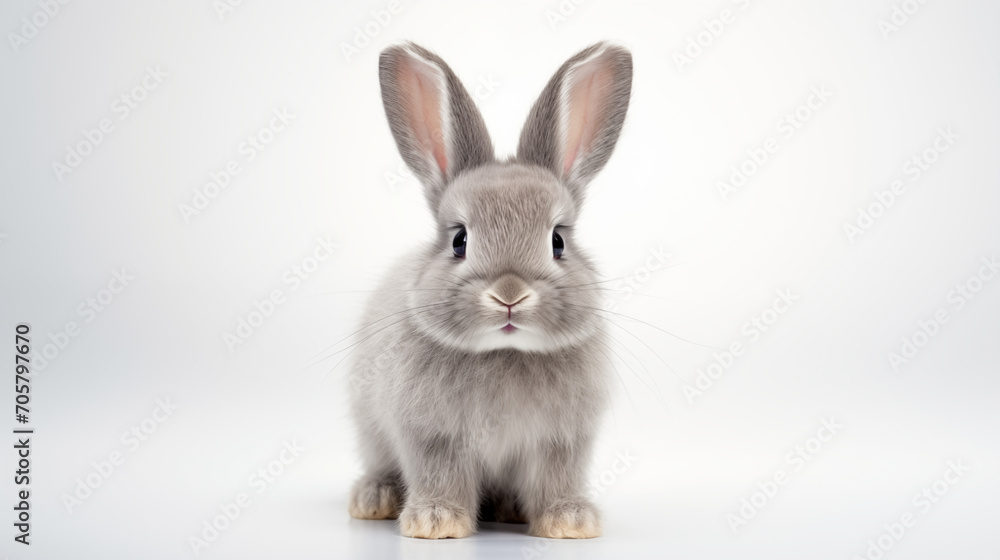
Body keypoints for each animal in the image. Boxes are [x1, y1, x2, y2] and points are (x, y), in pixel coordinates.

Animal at [350, 41, 632, 540]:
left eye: (558, 241)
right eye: (460, 240)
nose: (509, 294)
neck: (506, 352)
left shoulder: (563, 440)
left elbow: (557, 477)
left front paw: (569, 522)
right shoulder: (431, 436)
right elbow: (439, 474)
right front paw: (436, 522)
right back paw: (374, 498)